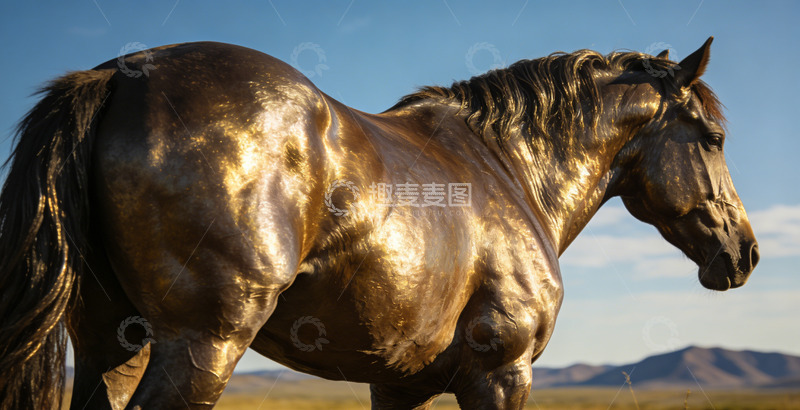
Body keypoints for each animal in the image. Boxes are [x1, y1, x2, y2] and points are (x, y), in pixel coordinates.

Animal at [0, 37, 758, 409]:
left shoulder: (400, 384)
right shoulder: (502, 375)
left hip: (114, 343)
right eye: (715, 138)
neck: (510, 170)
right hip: (203, 344)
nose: (746, 252)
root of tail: (119, 76)